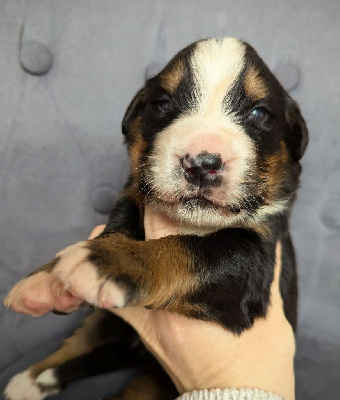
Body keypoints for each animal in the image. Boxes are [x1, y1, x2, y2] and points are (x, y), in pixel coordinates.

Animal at [3, 38, 306, 400]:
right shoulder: (133, 198)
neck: (191, 222)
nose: (201, 163)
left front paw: (109, 264)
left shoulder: (255, 258)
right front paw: (53, 275)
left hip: (155, 379)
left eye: (259, 113)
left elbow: (187, 250)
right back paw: (34, 372)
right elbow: (117, 230)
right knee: (85, 339)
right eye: (163, 104)